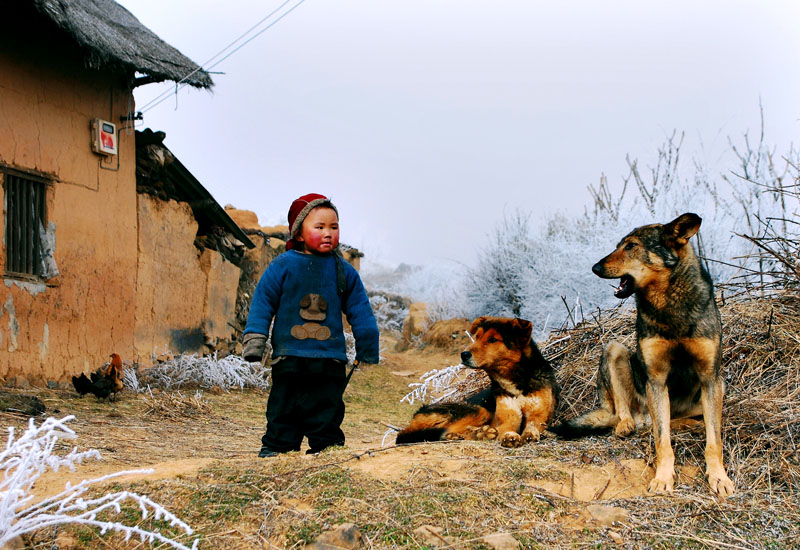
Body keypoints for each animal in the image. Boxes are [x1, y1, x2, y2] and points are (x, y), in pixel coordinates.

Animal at [396, 316, 560, 450]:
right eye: (477, 337)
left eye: (493, 339)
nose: (463, 354)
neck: (516, 382)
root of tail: (417, 414)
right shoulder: (508, 416)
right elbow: (507, 428)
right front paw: (509, 436)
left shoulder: (539, 415)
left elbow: (533, 426)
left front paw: (529, 435)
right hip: (479, 411)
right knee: (445, 431)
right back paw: (481, 433)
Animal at [548, 213, 736, 498]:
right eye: (618, 245)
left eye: (631, 246)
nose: (594, 267)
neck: (669, 304)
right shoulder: (655, 380)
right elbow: (662, 441)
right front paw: (663, 479)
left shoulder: (709, 378)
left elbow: (714, 441)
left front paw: (719, 478)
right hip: (614, 350)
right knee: (631, 415)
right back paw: (626, 424)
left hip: (719, 388)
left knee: (677, 420)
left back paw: (691, 425)